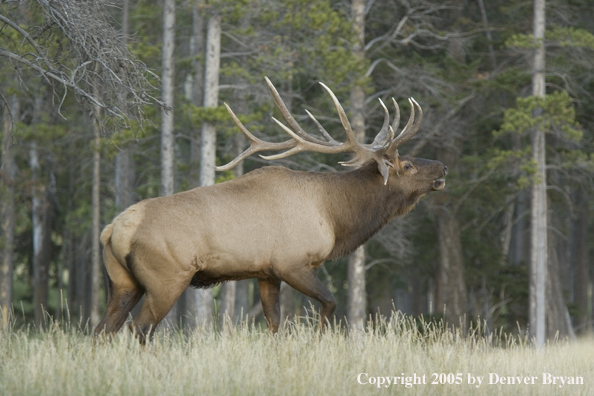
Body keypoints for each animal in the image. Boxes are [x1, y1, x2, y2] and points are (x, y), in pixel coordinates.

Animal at [93, 78, 444, 344]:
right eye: (408, 165)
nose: (443, 166)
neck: (335, 216)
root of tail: (112, 230)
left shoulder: (266, 274)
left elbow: (275, 325)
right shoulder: (293, 263)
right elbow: (329, 304)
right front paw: (316, 344)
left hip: (123, 282)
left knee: (102, 330)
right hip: (166, 278)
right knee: (140, 329)